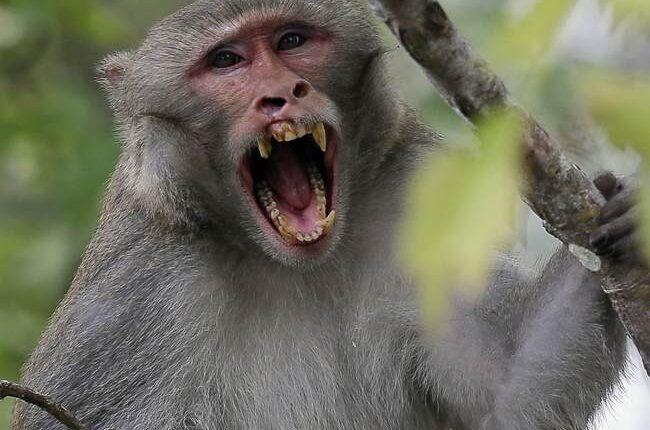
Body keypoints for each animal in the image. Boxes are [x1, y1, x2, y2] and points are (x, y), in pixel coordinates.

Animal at [12, 0, 638, 429]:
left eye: (292, 40)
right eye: (227, 61)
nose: (281, 94)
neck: (293, 263)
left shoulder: (411, 201)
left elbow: (506, 396)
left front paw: (616, 220)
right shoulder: (134, 293)